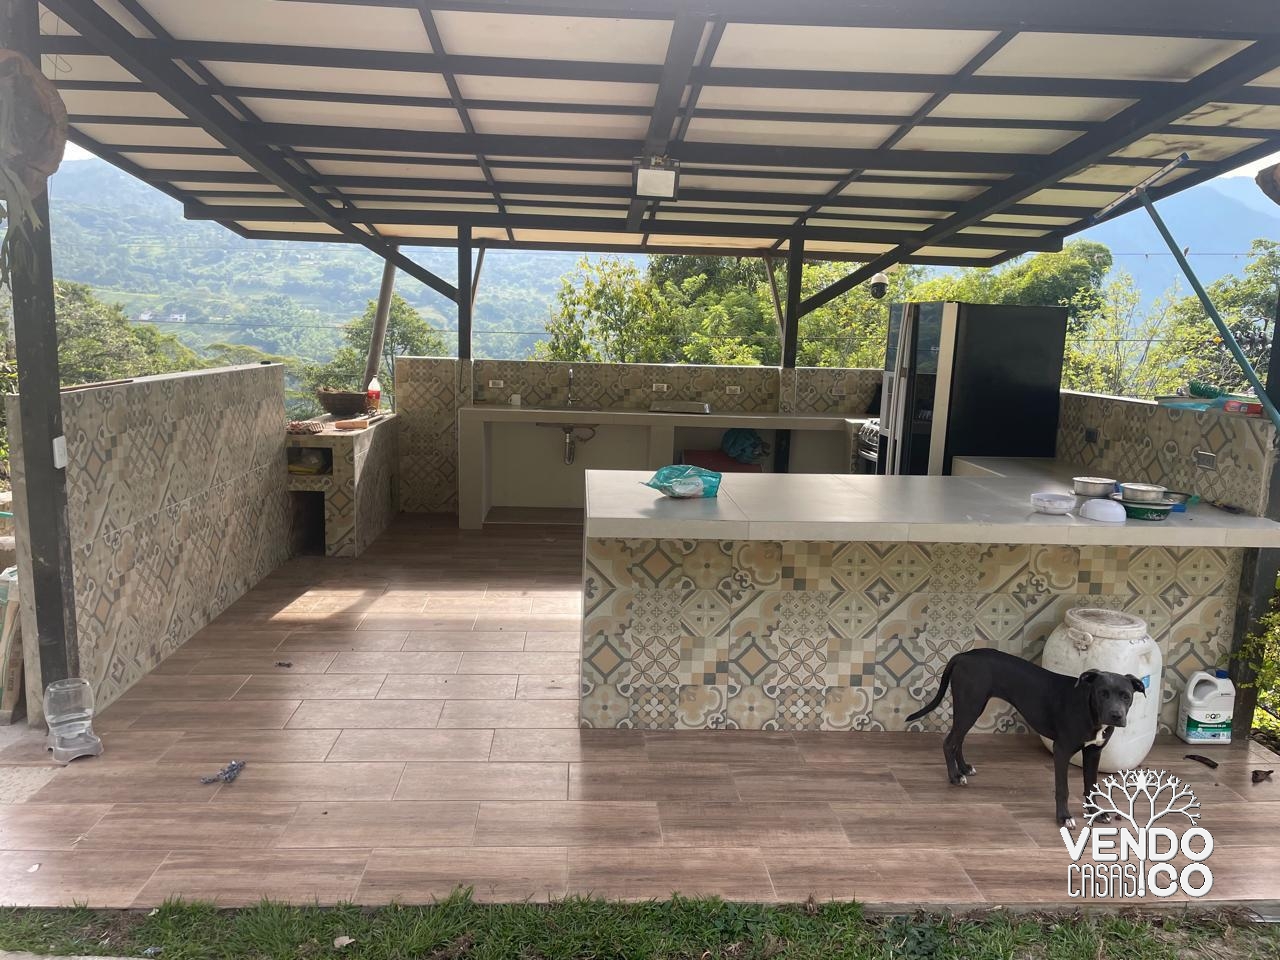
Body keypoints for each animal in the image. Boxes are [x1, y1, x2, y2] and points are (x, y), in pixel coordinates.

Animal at [906, 649, 1145, 826]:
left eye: (1126, 696)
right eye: (1102, 693)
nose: (1116, 715)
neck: (1088, 710)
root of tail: (964, 655)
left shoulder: (1094, 752)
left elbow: (1090, 785)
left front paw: (1096, 812)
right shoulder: (1061, 751)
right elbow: (1063, 789)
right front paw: (1064, 817)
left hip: (972, 708)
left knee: (959, 740)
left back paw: (964, 769)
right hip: (970, 706)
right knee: (950, 742)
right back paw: (955, 776)